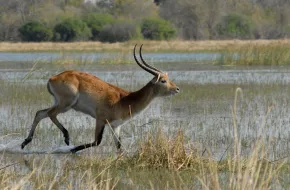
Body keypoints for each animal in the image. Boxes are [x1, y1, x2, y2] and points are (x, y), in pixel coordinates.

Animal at [21, 44, 179, 153]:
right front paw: (73, 149)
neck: (126, 99)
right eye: (163, 80)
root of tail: (53, 78)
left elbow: (119, 146)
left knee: (40, 113)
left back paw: (25, 142)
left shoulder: (116, 126)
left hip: (59, 102)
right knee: (50, 113)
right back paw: (66, 138)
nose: (177, 89)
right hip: (67, 104)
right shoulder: (101, 119)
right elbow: (97, 141)